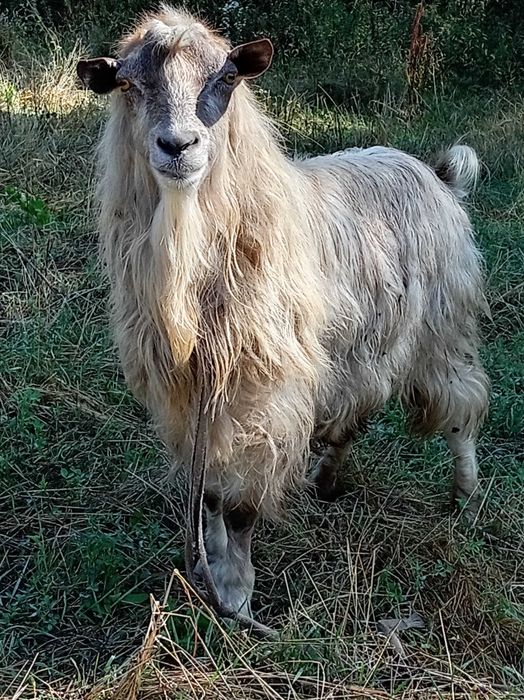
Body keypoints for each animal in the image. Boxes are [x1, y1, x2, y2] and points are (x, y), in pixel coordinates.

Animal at [77, 4, 489, 617]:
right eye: (127, 83)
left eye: (227, 78)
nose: (178, 145)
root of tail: (439, 175)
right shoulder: (195, 398)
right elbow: (211, 494)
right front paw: (215, 571)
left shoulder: (264, 397)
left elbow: (242, 505)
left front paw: (237, 593)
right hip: (359, 347)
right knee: (358, 410)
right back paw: (327, 478)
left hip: (443, 326)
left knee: (459, 405)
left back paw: (463, 494)